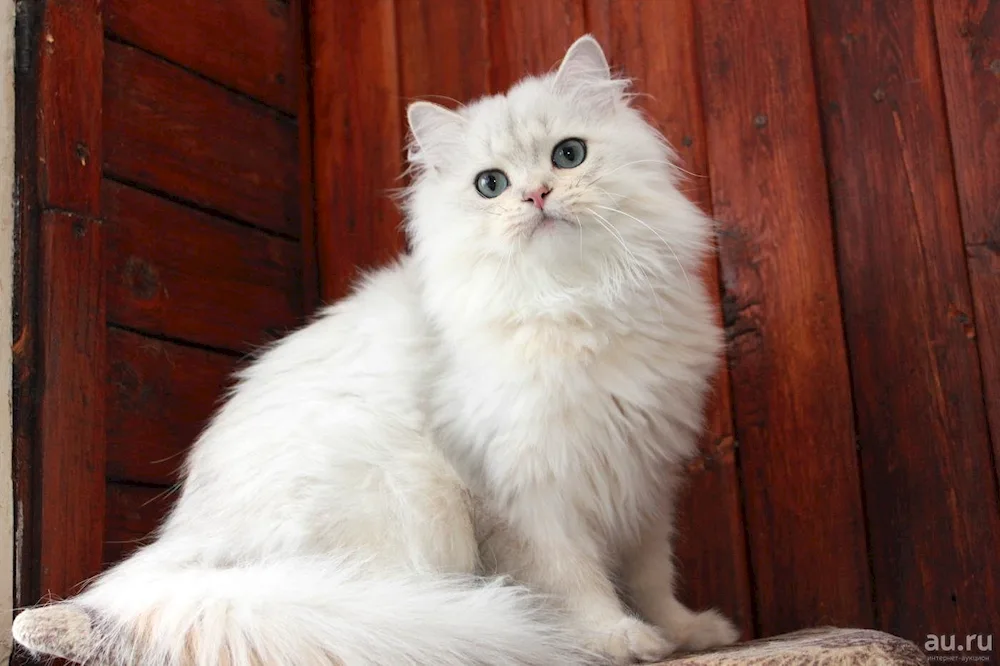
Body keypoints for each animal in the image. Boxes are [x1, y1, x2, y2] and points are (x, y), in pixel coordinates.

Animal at [11, 36, 740, 664]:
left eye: (568, 155)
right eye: (491, 185)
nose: (537, 195)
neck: (572, 302)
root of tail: (185, 558)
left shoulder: (644, 475)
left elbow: (652, 578)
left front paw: (687, 632)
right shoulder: (529, 491)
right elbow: (577, 580)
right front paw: (619, 639)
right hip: (410, 492)